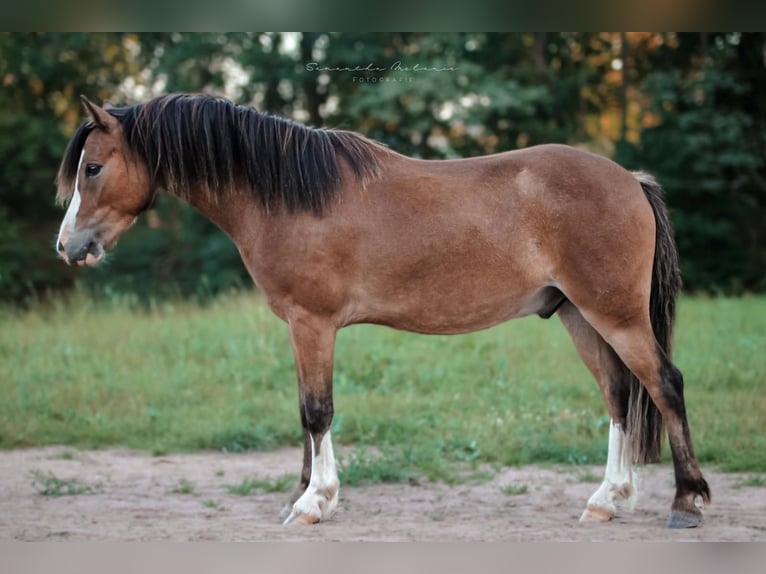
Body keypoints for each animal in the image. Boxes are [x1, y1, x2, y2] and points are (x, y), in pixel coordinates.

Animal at [57, 94, 712, 532]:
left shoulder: (313, 323)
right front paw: (301, 493)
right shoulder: (301, 328)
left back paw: (686, 501)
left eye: (93, 167)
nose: (68, 247)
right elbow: (303, 412)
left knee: (665, 385)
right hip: (581, 315)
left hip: (616, 315)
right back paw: (607, 499)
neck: (287, 194)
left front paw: (313, 502)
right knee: (619, 394)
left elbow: (316, 412)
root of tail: (630, 179)